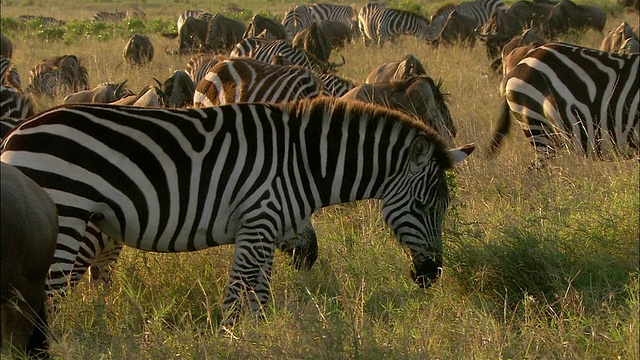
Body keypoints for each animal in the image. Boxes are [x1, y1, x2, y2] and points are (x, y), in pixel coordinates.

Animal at [1, 98, 476, 324]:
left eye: (445, 207)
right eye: (423, 205)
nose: (430, 275)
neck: (303, 163)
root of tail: (15, 134)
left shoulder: (265, 230)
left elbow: (258, 298)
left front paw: (260, 337)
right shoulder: (259, 222)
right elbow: (238, 298)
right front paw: (234, 339)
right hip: (64, 217)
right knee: (43, 297)